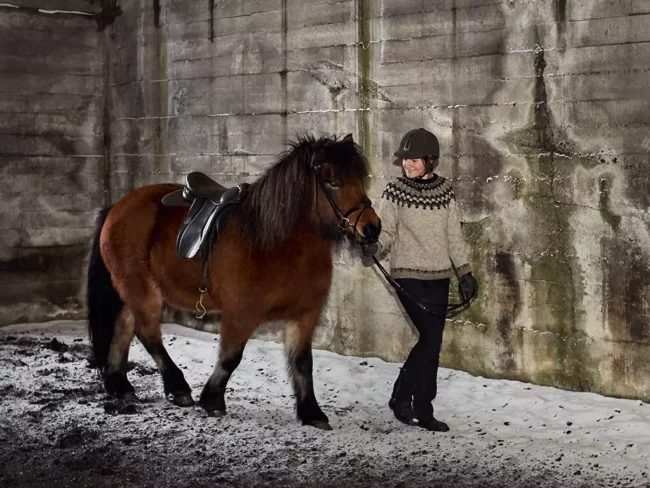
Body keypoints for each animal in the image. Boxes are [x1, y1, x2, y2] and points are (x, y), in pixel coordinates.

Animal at [87, 134, 381, 430]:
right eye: (332, 181)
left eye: (359, 178)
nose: (372, 228)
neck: (277, 242)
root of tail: (117, 207)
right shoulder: (240, 313)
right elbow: (231, 358)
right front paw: (212, 400)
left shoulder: (305, 314)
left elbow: (302, 362)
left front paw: (311, 412)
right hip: (142, 290)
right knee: (147, 334)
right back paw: (177, 387)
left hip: (131, 291)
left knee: (123, 327)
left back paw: (119, 384)